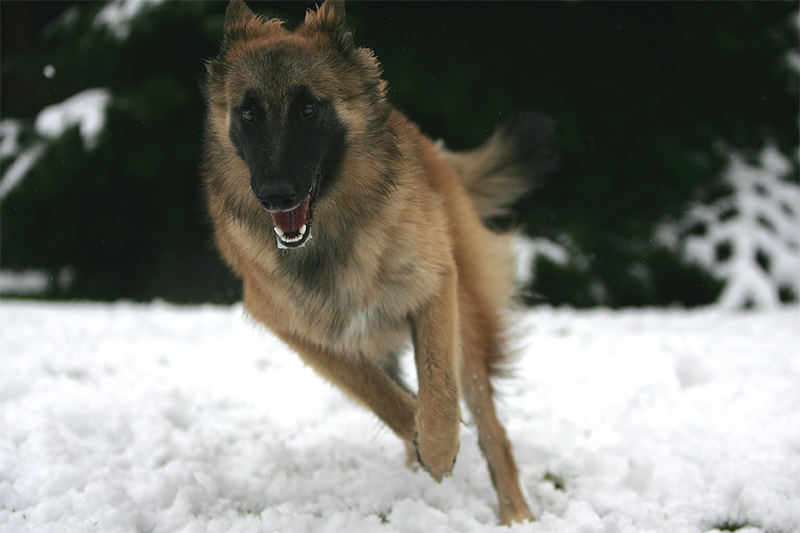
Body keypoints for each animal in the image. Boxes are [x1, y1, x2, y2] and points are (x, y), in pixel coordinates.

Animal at [200, 1, 552, 524]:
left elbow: (439, 389)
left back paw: (516, 514)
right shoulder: (303, 331)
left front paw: (439, 445)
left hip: (467, 318)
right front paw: (421, 443)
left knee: (491, 427)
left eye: (309, 109)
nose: (275, 195)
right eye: (248, 113)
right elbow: (380, 394)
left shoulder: (433, 287)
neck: (333, 237)